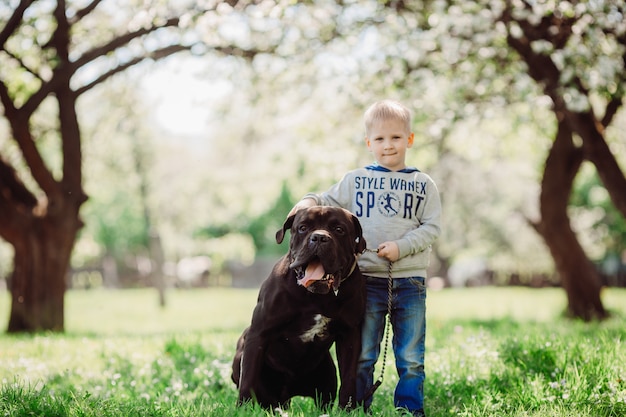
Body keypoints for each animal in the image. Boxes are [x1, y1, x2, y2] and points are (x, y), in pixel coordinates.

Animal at [230, 206, 366, 408]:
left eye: (339, 229)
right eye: (302, 228)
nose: (319, 237)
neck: (318, 296)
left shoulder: (350, 335)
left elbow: (349, 377)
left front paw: (347, 409)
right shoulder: (259, 332)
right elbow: (248, 376)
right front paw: (243, 408)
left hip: (328, 373)